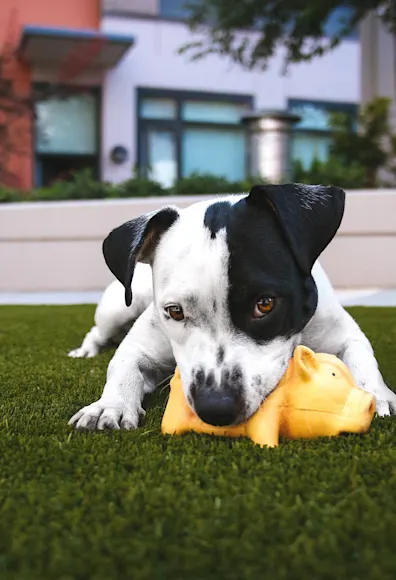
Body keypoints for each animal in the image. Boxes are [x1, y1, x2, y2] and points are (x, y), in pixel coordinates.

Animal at [68, 184, 396, 432]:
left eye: (265, 304)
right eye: (175, 311)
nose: (216, 407)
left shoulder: (343, 334)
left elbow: (363, 360)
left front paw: (377, 394)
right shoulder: (140, 346)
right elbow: (123, 367)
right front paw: (109, 405)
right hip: (118, 308)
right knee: (98, 331)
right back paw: (85, 351)